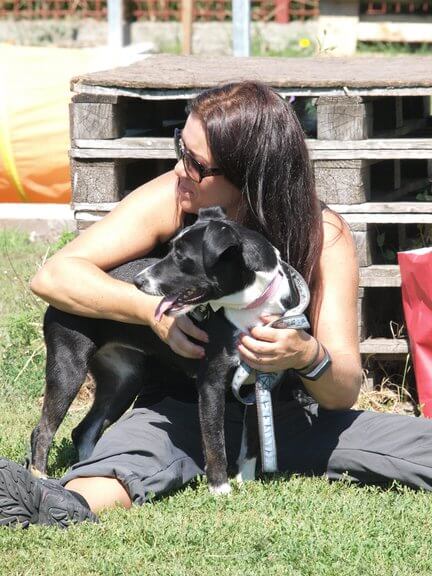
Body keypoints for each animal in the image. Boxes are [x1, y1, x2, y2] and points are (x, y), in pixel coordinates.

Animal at [29, 206, 307, 494]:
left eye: (181, 256)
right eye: (171, 248)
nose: (138, 282)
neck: (249, 308)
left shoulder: (261, 383)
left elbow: (251, 443)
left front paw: (246, 482)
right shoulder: (211, 384)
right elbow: (215, 443)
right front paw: (220, 489)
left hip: (123, 380)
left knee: (84, 430)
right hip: (68, 368)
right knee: (43, 430)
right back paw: (41, 479)